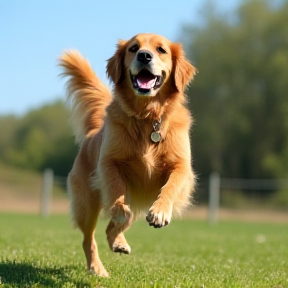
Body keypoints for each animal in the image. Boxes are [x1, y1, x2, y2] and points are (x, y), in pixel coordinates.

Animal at [59, 32, 197, 276]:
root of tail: (93, 132)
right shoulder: (108, 162)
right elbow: (116, 188)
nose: (144, 56)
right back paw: (97, 268)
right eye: (134, 48)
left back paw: (119, 243)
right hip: (87, 204)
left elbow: (171, 186)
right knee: (89, 238)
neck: (146, 117)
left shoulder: (182, 166)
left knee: (111, 229)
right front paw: (119, 208)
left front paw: (160, 212)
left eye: (161, 49)